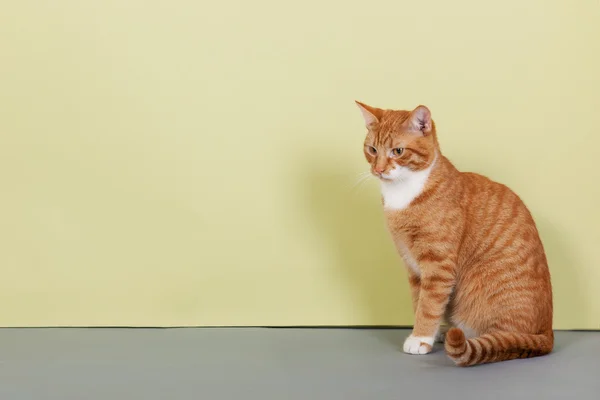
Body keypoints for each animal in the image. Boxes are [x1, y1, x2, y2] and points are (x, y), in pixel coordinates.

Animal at [354, 101, 556, 368]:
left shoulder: (438, 265)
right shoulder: (413, 267)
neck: (404, 193)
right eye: (372, 149)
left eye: (398, 151)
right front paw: (427, 333)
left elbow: (429, 304)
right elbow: (419, 301)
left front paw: (420, 338)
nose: (378, 169)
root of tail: (548, 332)